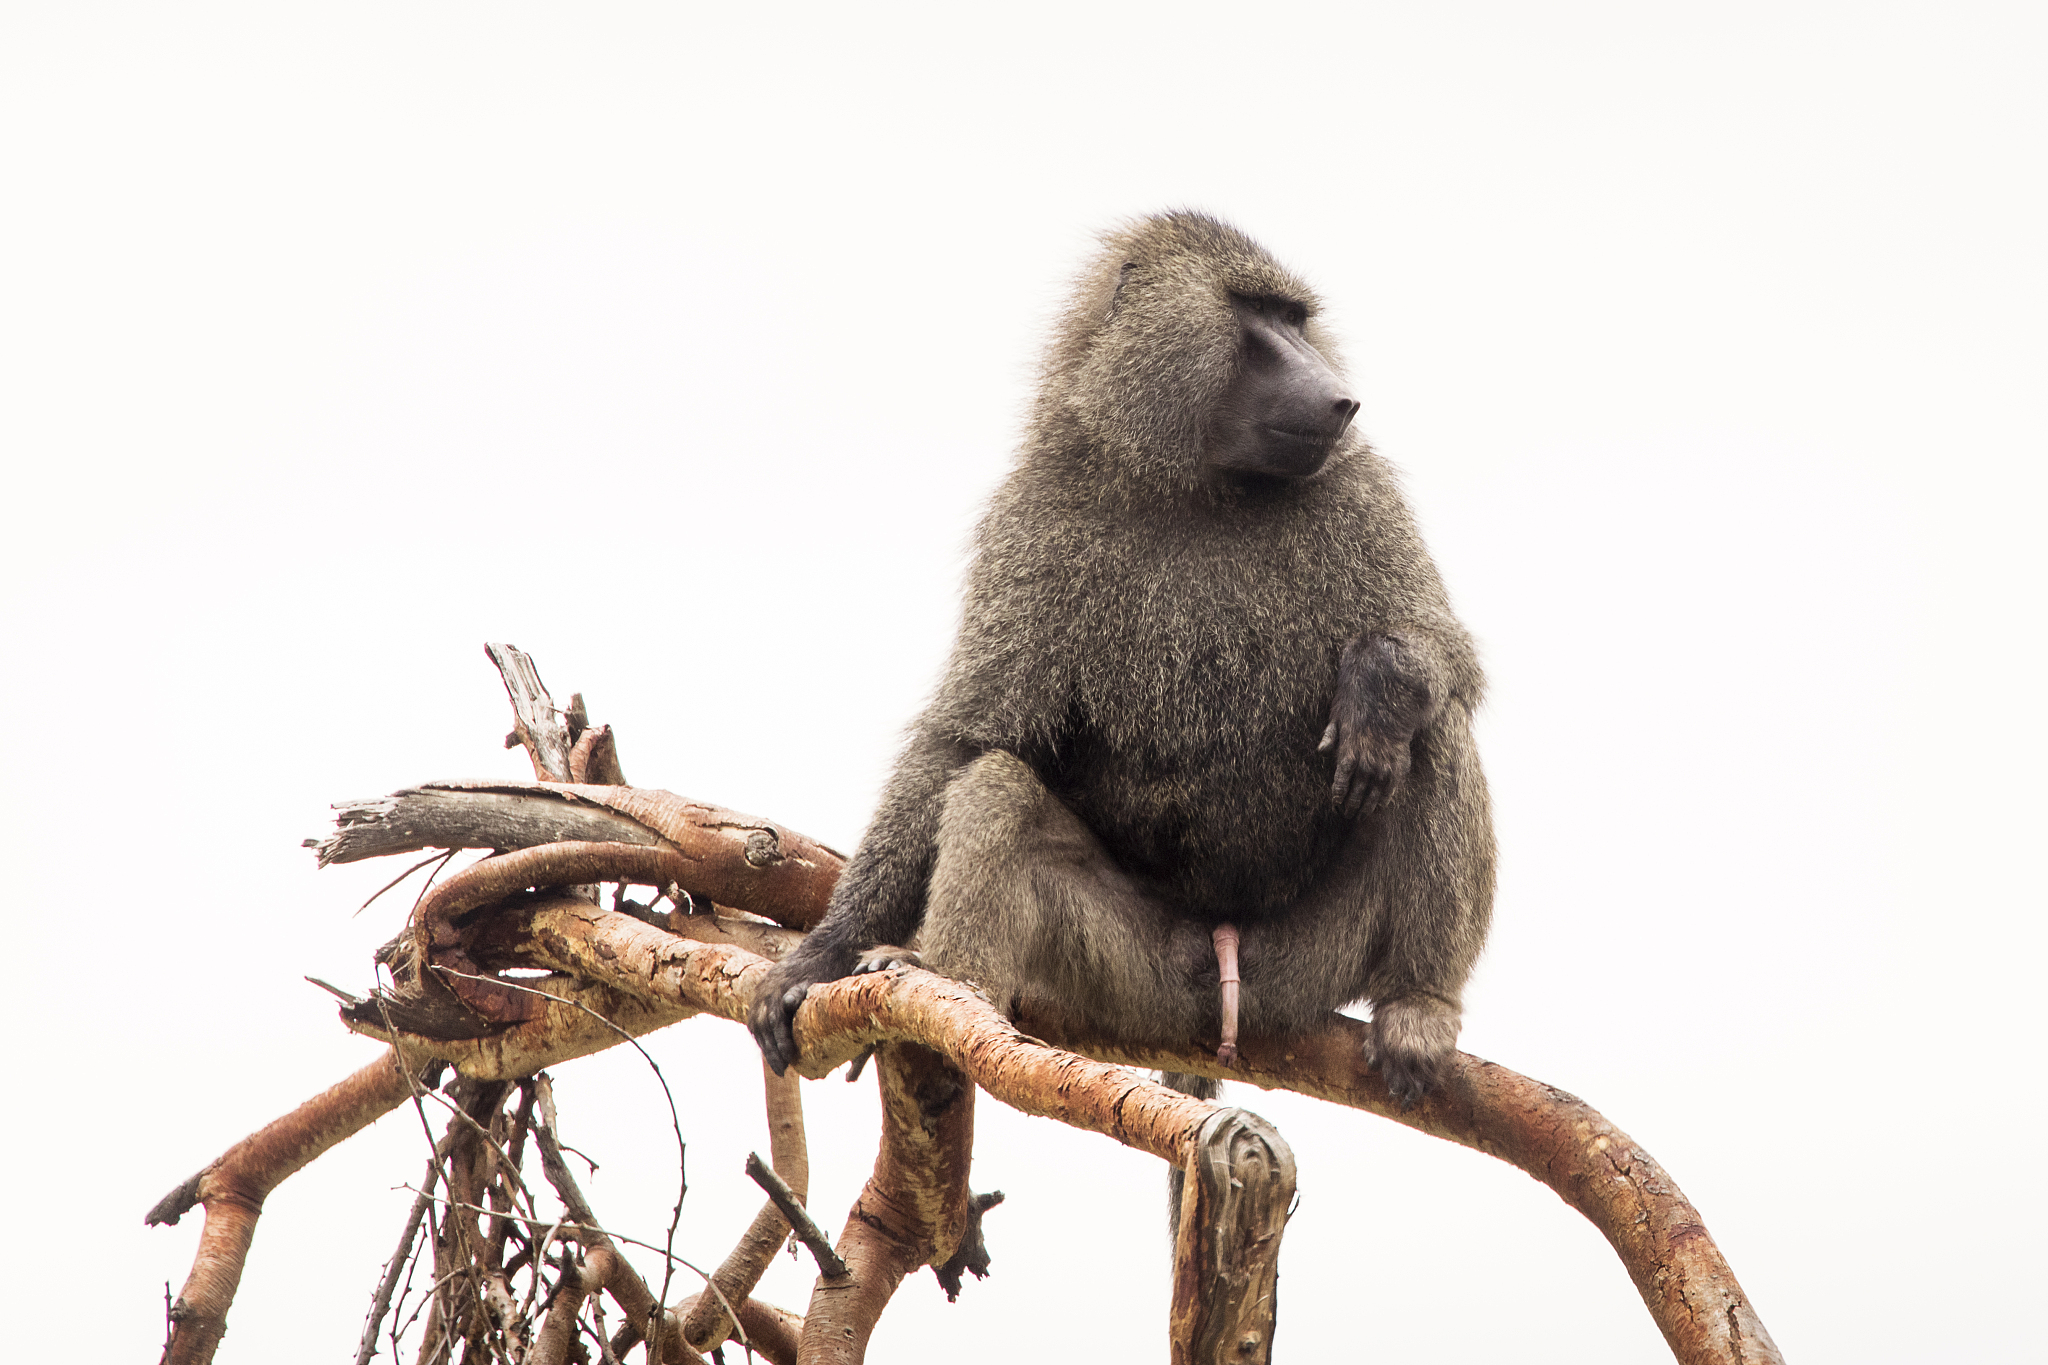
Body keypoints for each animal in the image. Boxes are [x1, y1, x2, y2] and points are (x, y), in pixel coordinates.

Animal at [749, 211, 1494, 1109]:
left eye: (1295, 317)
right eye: (1254, 311)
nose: (1342, 397)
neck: (1198, 483)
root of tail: (1225, 956)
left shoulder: (1361, 488)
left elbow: (1443, 649)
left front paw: (1378, 677)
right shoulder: (1030, 521)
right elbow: (967, 741)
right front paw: (818, 955)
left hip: (1306, 966)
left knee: (1428, 729)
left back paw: (1419, 1003)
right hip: (1132, 975)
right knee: (996, 789)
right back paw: (941, 980)